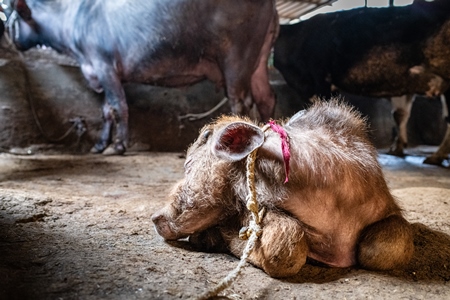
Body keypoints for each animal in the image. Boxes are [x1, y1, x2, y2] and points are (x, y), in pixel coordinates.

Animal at [8, 0, 280, 155]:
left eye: (12, 21)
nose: (12, 40)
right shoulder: (101, 72)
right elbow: (106, 110)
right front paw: (100, 144)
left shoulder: (104, 65)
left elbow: (119, 107)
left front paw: (118, 146)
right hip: (258, 61)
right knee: (266, 98)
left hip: (236, 56)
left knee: (241, 101)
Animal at [152, 100, 414, 276]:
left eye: (188, 165)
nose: (156, 217)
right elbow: (287, 247)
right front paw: (212, 236)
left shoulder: (388, 213)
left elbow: (382, 250)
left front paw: (213, 236)